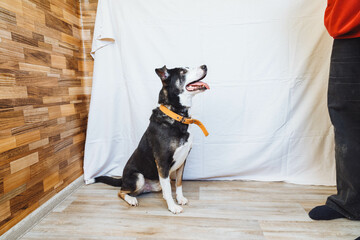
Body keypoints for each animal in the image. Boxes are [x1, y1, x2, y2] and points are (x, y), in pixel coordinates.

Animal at [95, 65, 210, 214]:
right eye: (183, 71)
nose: (205, 66)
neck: (176, 116)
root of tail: (123, 179)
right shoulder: (162, 162)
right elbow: (169, 190)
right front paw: (173, 207)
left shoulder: (183, 160)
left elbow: (178, 183)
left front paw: (180, 199)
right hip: (138, 178)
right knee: (121, 192)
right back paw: (131, 199)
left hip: (156, 182)